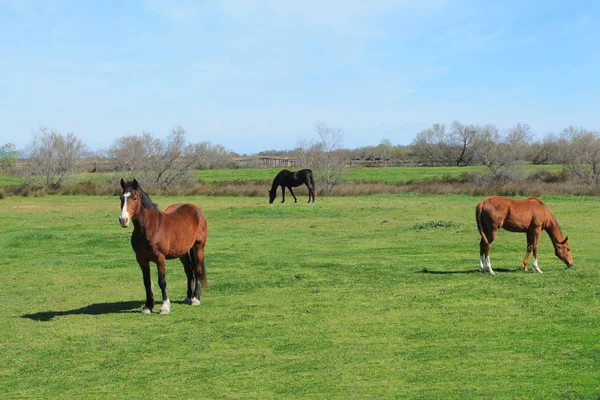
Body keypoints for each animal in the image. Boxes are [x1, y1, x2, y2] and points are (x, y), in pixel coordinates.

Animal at [118, 179, 209, 316]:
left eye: (135, 197)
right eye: (121, 198)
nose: (123, 220)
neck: (150, 227)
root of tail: (197, 210)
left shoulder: (160, 258)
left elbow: (162, 281)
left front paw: (165, 307)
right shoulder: (141, 260)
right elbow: (147, 282)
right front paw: (148, 306)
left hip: (198, 247)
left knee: (197, 269)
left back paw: (196, 298)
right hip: (182, 252)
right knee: (189, 271)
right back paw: (189, 297)